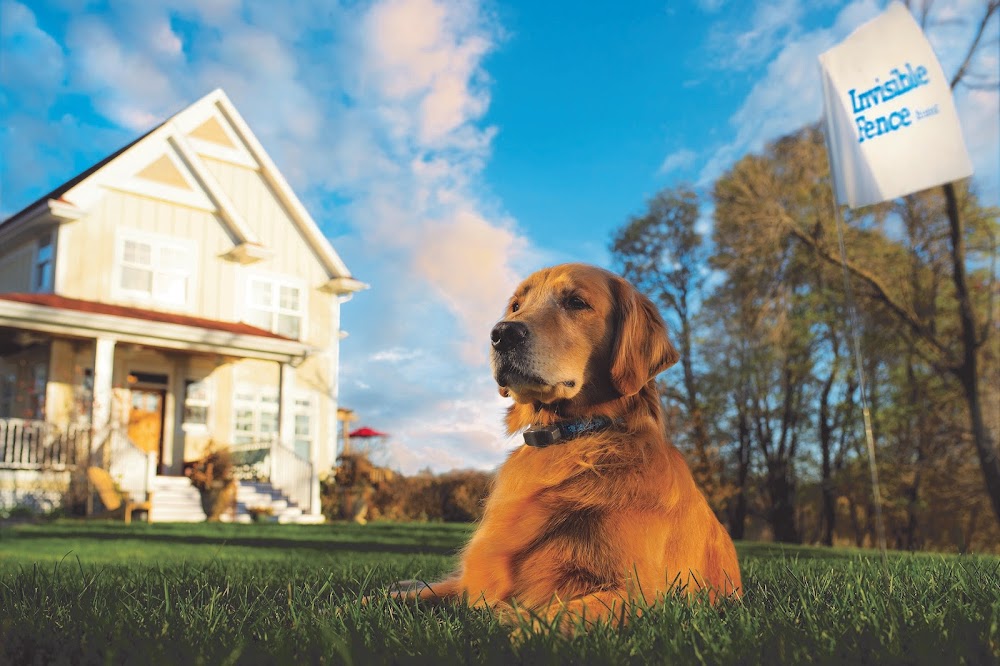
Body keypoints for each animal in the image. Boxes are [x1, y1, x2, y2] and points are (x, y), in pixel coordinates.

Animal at [398, 264, 744, 628]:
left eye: (576, 302)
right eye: (516, 306)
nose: (502, 333)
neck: (574, 437)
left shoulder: (644, 594)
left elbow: (546, 620)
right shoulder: (472, 579)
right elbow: (407, 595)